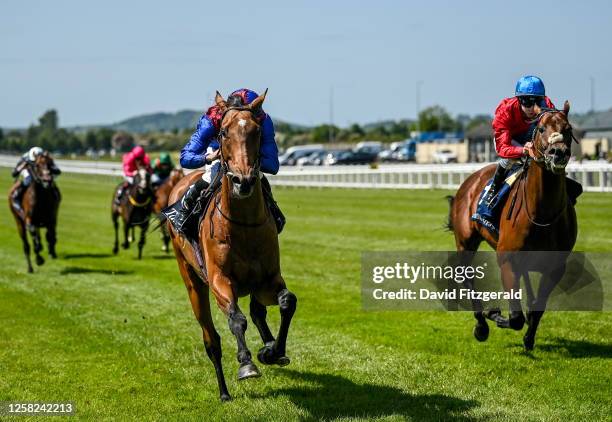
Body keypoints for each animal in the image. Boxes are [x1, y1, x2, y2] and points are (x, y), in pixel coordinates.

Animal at [167, 90, 296, 400]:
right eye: (223, 132)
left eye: (257, 131)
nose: (243, 180)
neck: (243, 225)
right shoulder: (220, 281)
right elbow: (237, 319)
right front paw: (247, 363)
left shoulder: (268, 279)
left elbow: (287, 301)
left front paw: (273, 351)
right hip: (191, 280)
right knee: (210, 338)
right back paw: (224, 392)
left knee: (258, 312)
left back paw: (269, 347)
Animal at [448, 101, 576, 350]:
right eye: (541, 129)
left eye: (567, 128)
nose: (558, 153)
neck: (542, 213)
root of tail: (470, 181)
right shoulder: (508, 260)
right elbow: (515, 318)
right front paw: (494, 314)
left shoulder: (556, 266)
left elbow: (537, 309)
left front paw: (529, 338)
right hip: (465, 242)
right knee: (466, 275)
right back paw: (481, 325)